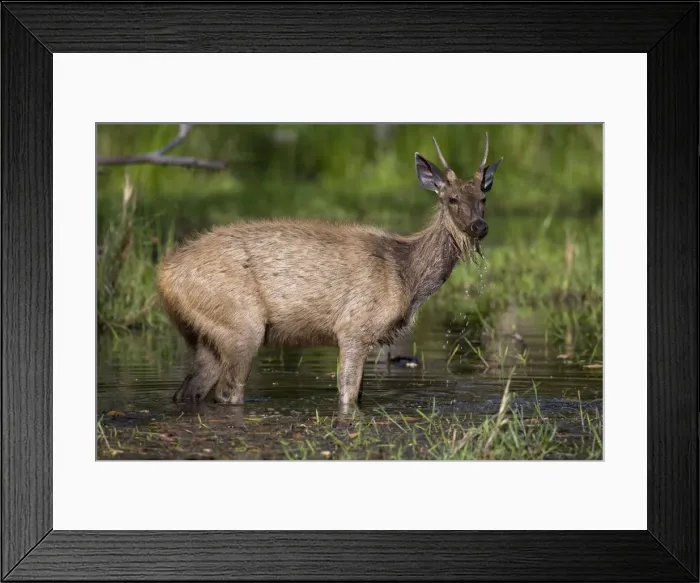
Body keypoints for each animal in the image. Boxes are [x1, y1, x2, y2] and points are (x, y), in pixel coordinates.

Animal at [155, 133, 503, 406]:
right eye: (452, 198)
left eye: (483, 197)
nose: (480, 227)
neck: (406, 275)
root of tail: (164, 276)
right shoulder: (354, 327)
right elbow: (349, 396)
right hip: (241, 324)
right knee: (227, 393)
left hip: (203, 334)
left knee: (187, 392)